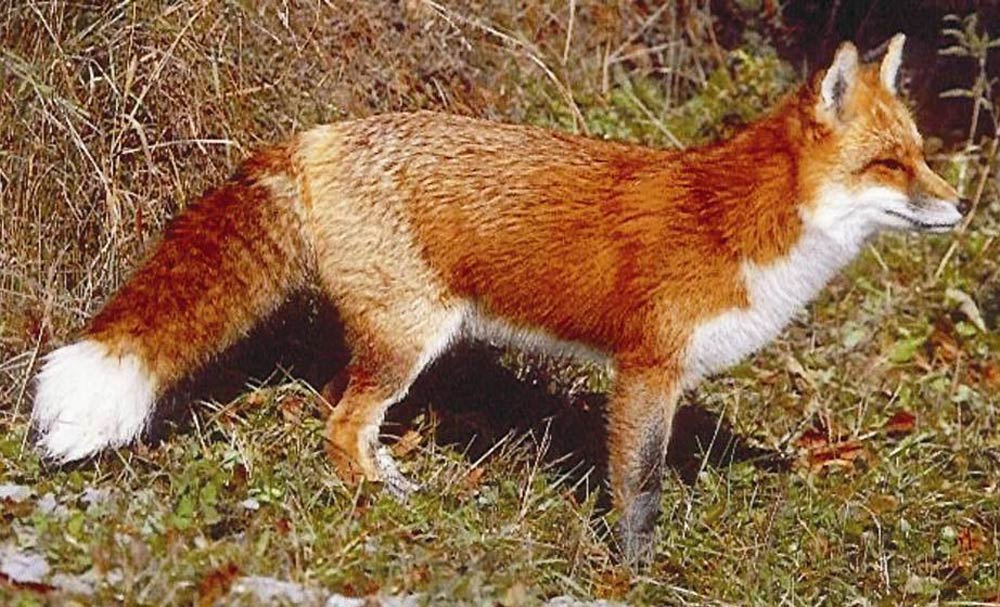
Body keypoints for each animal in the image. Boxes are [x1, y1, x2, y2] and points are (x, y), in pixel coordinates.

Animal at [33, 35, 968, 564]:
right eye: (890, 164)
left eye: (922, 154)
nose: (960, 206)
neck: (735, 224)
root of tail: (317, 135)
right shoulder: (645, 369)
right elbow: (639, 490)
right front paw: (636, 573)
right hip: (408, 340)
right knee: (339, 426)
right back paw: (380, 504)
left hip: (397, 345)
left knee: (346, 419)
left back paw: (392, 485)